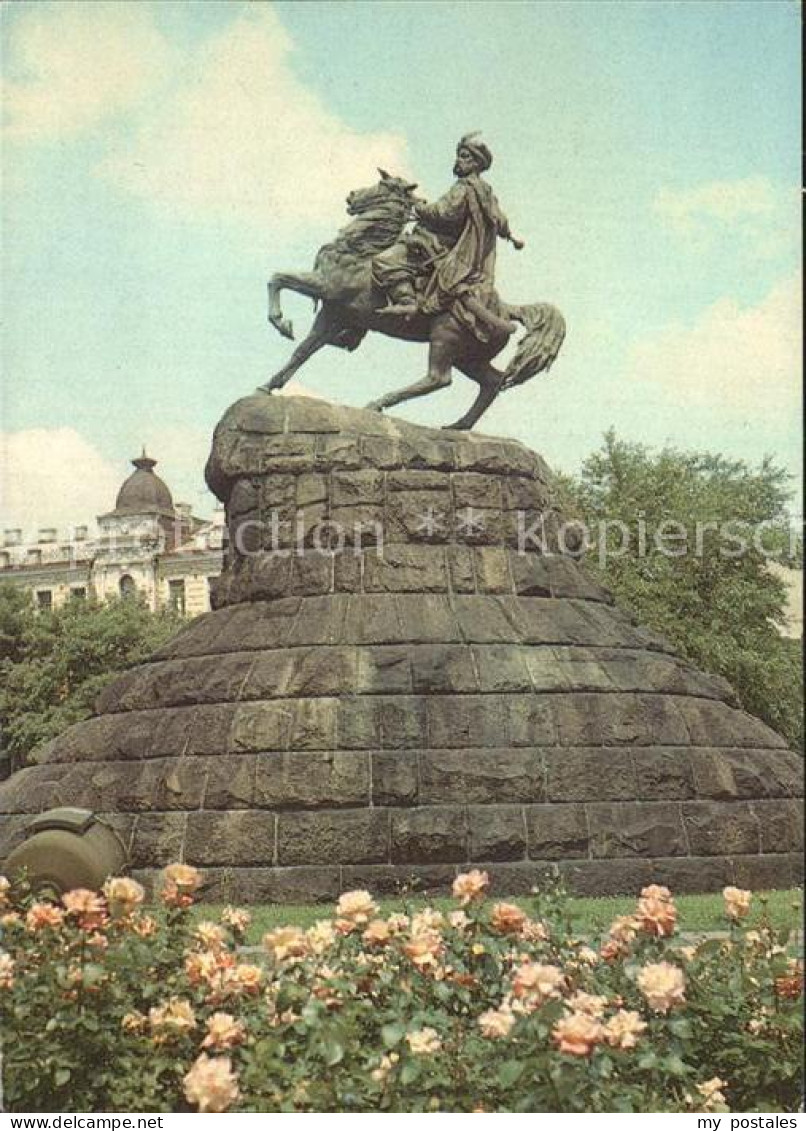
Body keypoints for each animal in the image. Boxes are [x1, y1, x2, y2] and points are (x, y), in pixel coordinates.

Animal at [261, 169, 562, 429]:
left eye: (382, 184)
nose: (351, 195)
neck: (360, 249)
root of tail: (506, 310)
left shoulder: (324, 287)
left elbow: (277, 278)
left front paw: (281, 323)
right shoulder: (334, 313)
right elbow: (304, 349)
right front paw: (269, 385)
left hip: (445, 338)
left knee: (438, 378)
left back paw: (378, 403)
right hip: (469, 357)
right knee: (493, 382)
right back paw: (458, 426)